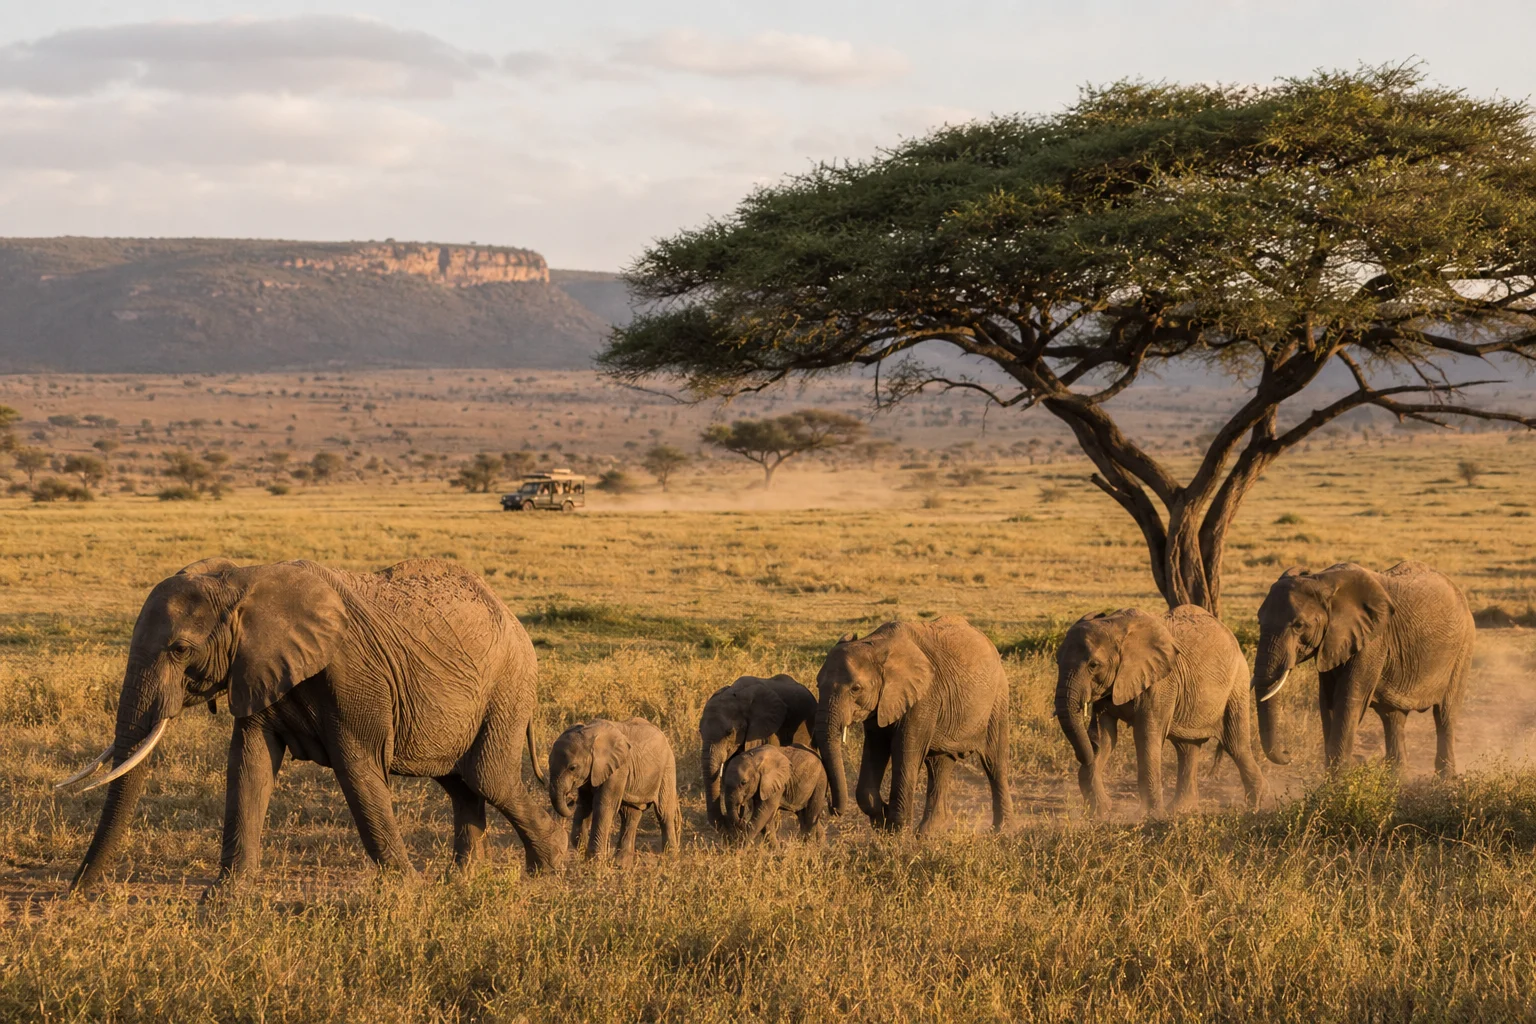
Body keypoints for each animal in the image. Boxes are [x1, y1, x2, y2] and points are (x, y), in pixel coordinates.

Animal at [55, 557, 567, 894]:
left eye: (180, 650)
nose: (76, 892)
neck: (244, 580)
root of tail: (513, 618)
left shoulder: (355, 675)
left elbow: (358, 772)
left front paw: (406, 894)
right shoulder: (257, 667)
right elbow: (250, 766)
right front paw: (223, 901)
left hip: (508, 686)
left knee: (488, 777)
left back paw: (548, 871)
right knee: (459, 783)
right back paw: (463, 881)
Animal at [548, 717, 682, 863]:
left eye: (572, 768)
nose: (570, 799)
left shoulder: (618, 769)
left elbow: (604, 806)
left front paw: (595, 861)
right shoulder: (591, 773)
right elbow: (585, 805)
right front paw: (586, 855)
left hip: (667, 769)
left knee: (664, 812)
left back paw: (670, 858)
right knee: (630, 815)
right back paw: (621, 864)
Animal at [814, 616, 1011, 832]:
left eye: (855, 689)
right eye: (817, 685)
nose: (831, 807)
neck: (876, 644)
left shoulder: (924, 697)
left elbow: (905, 751)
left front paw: (896, 831)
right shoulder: (882, 704)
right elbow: (876, 748)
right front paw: (882, 821)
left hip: (997, 699)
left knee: (994, 762)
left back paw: (1001, 831)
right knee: (939, 765)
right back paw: (928, 833)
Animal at [1054, 605, 1267, 818]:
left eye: (1093, 665)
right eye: (1057, 662)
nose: (1086, 753)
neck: (1116, 626)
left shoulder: (1161, 681)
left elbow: (1146, 735)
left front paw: (1150, 816)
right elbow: (1106, 736)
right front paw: (1100, 812)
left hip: (1237, 684)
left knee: (1235, 743)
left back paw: (1253, 807)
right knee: (1186, 748)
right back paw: (1181, 809)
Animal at [1251, 561, 1474, 776]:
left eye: (1299, 625)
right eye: (1259, 622)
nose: (1288, 754)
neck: (1322, 581)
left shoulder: (1372, 642)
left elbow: (1348, 700)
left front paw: (1335, 786)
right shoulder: (1333, 643)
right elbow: (1328, 702)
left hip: (1463, 648)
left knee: (1445, 715)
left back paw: (1445, 781)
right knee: (1393, 718)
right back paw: (1397, 779)